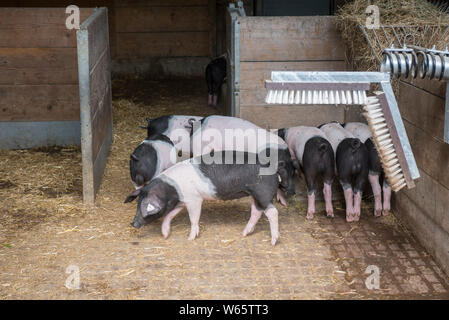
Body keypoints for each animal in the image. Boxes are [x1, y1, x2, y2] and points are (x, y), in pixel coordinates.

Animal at [123, 150, 284, 245]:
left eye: (144, 208)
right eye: (137, 205)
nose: (133, 223)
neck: (172, 190)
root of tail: (275, 169)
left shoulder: (194, 199)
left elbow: (193, 218)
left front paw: (190, 238)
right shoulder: (181, 201)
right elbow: (169, 215)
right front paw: (165, 235)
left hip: (262, 193)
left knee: (273, 212)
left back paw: (273, 241)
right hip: (254, 195)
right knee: (256, 211)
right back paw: (244, 234)